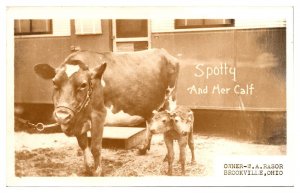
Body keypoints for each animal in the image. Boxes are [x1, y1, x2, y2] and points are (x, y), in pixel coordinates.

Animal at [34, 47, 179, 175]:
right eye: (54, 82)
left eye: (83, 85)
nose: (62, 116)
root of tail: (163, 51)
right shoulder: (79, 120)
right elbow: (83, 145)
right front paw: (88, 169)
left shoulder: (99, 115)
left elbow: (95, 147)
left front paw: (97, 171)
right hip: (149, 105)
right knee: (150, 122)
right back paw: (143, 149)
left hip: (171, 99)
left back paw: (167, 156)